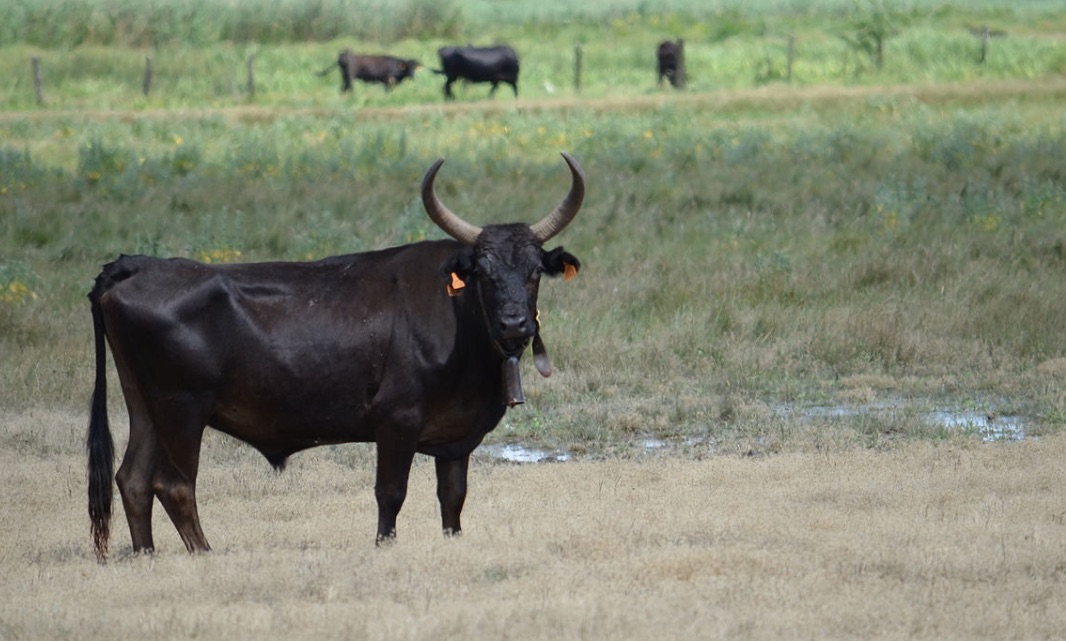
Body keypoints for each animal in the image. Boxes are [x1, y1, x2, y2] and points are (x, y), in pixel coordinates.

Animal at [87, 152, 588, 558]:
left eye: (533, 272)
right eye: (483, 272)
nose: (514, 324)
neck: (458, 317)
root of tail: (137, 264)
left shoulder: (455, 435)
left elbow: (453, 497)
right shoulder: (396, 419)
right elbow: (391, 492)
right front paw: (384, 545)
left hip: (144, 405)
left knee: (132, 479)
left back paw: (147, 555)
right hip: (182, 408)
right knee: (173, 485)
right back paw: (205, 553)